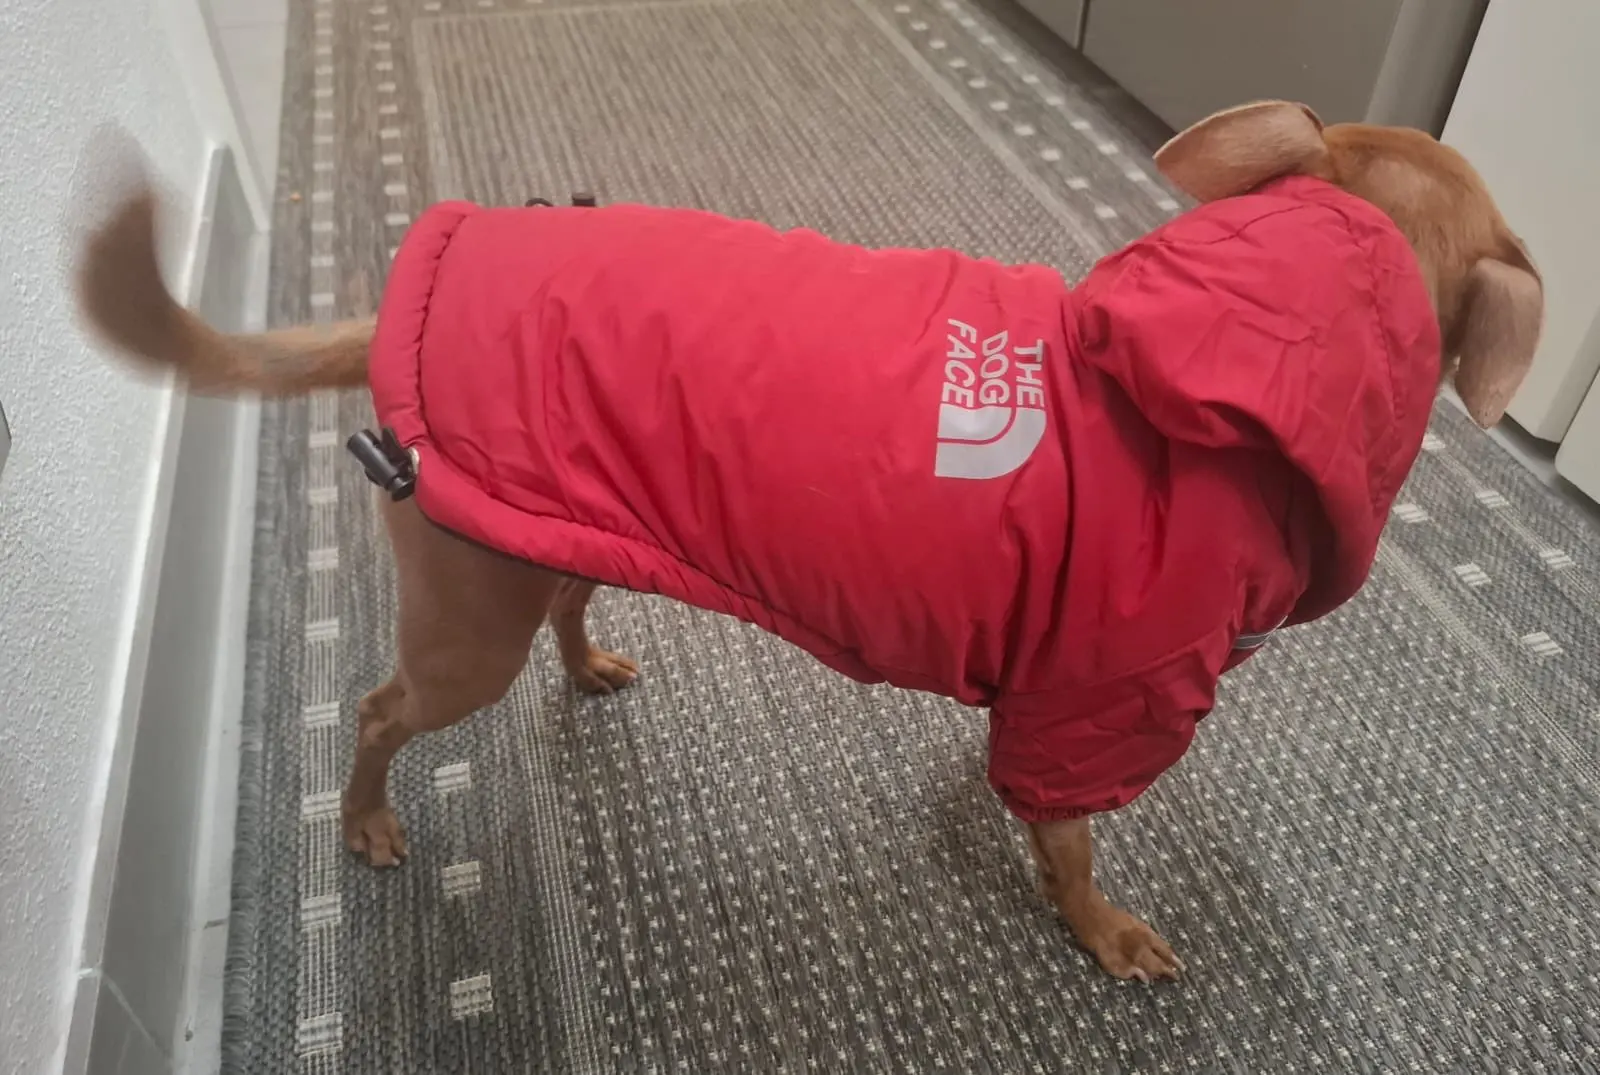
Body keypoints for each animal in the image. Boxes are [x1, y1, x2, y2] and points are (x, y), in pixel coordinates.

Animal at [74, 101, 1542, 983]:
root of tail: (414, 288)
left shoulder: (1051, 694)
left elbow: (1032, 802)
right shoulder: (1104, 699)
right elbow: (1072, 843)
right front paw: (1098, 924)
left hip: (558, 533)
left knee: (565, 614)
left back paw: (588, 667)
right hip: (465, 625)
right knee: (381, 711)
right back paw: (370, 821)